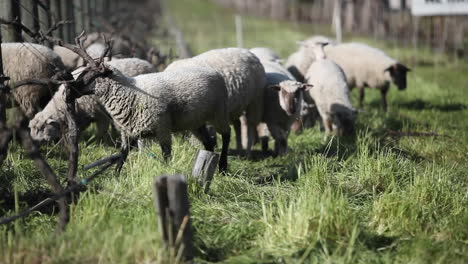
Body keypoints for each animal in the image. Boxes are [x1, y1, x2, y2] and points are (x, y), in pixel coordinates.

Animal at [29, 57, 157, 142]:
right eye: (32, 128)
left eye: (40, 128)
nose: (35, 141)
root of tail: (147, 63)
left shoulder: (101, 114)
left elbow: (102, 131)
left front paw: (101, 143)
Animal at [87, 65, 230, 173]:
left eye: (91, 76)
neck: (130, 91)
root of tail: (216, 72)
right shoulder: (129, 132)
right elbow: (123, 154)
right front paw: (116, 176)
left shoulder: (162, 128)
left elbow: (166, 154)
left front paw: (167, 171)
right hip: (196, 121)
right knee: (208, 142)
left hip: (219, 112)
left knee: (226, 135)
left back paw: (223, 167)